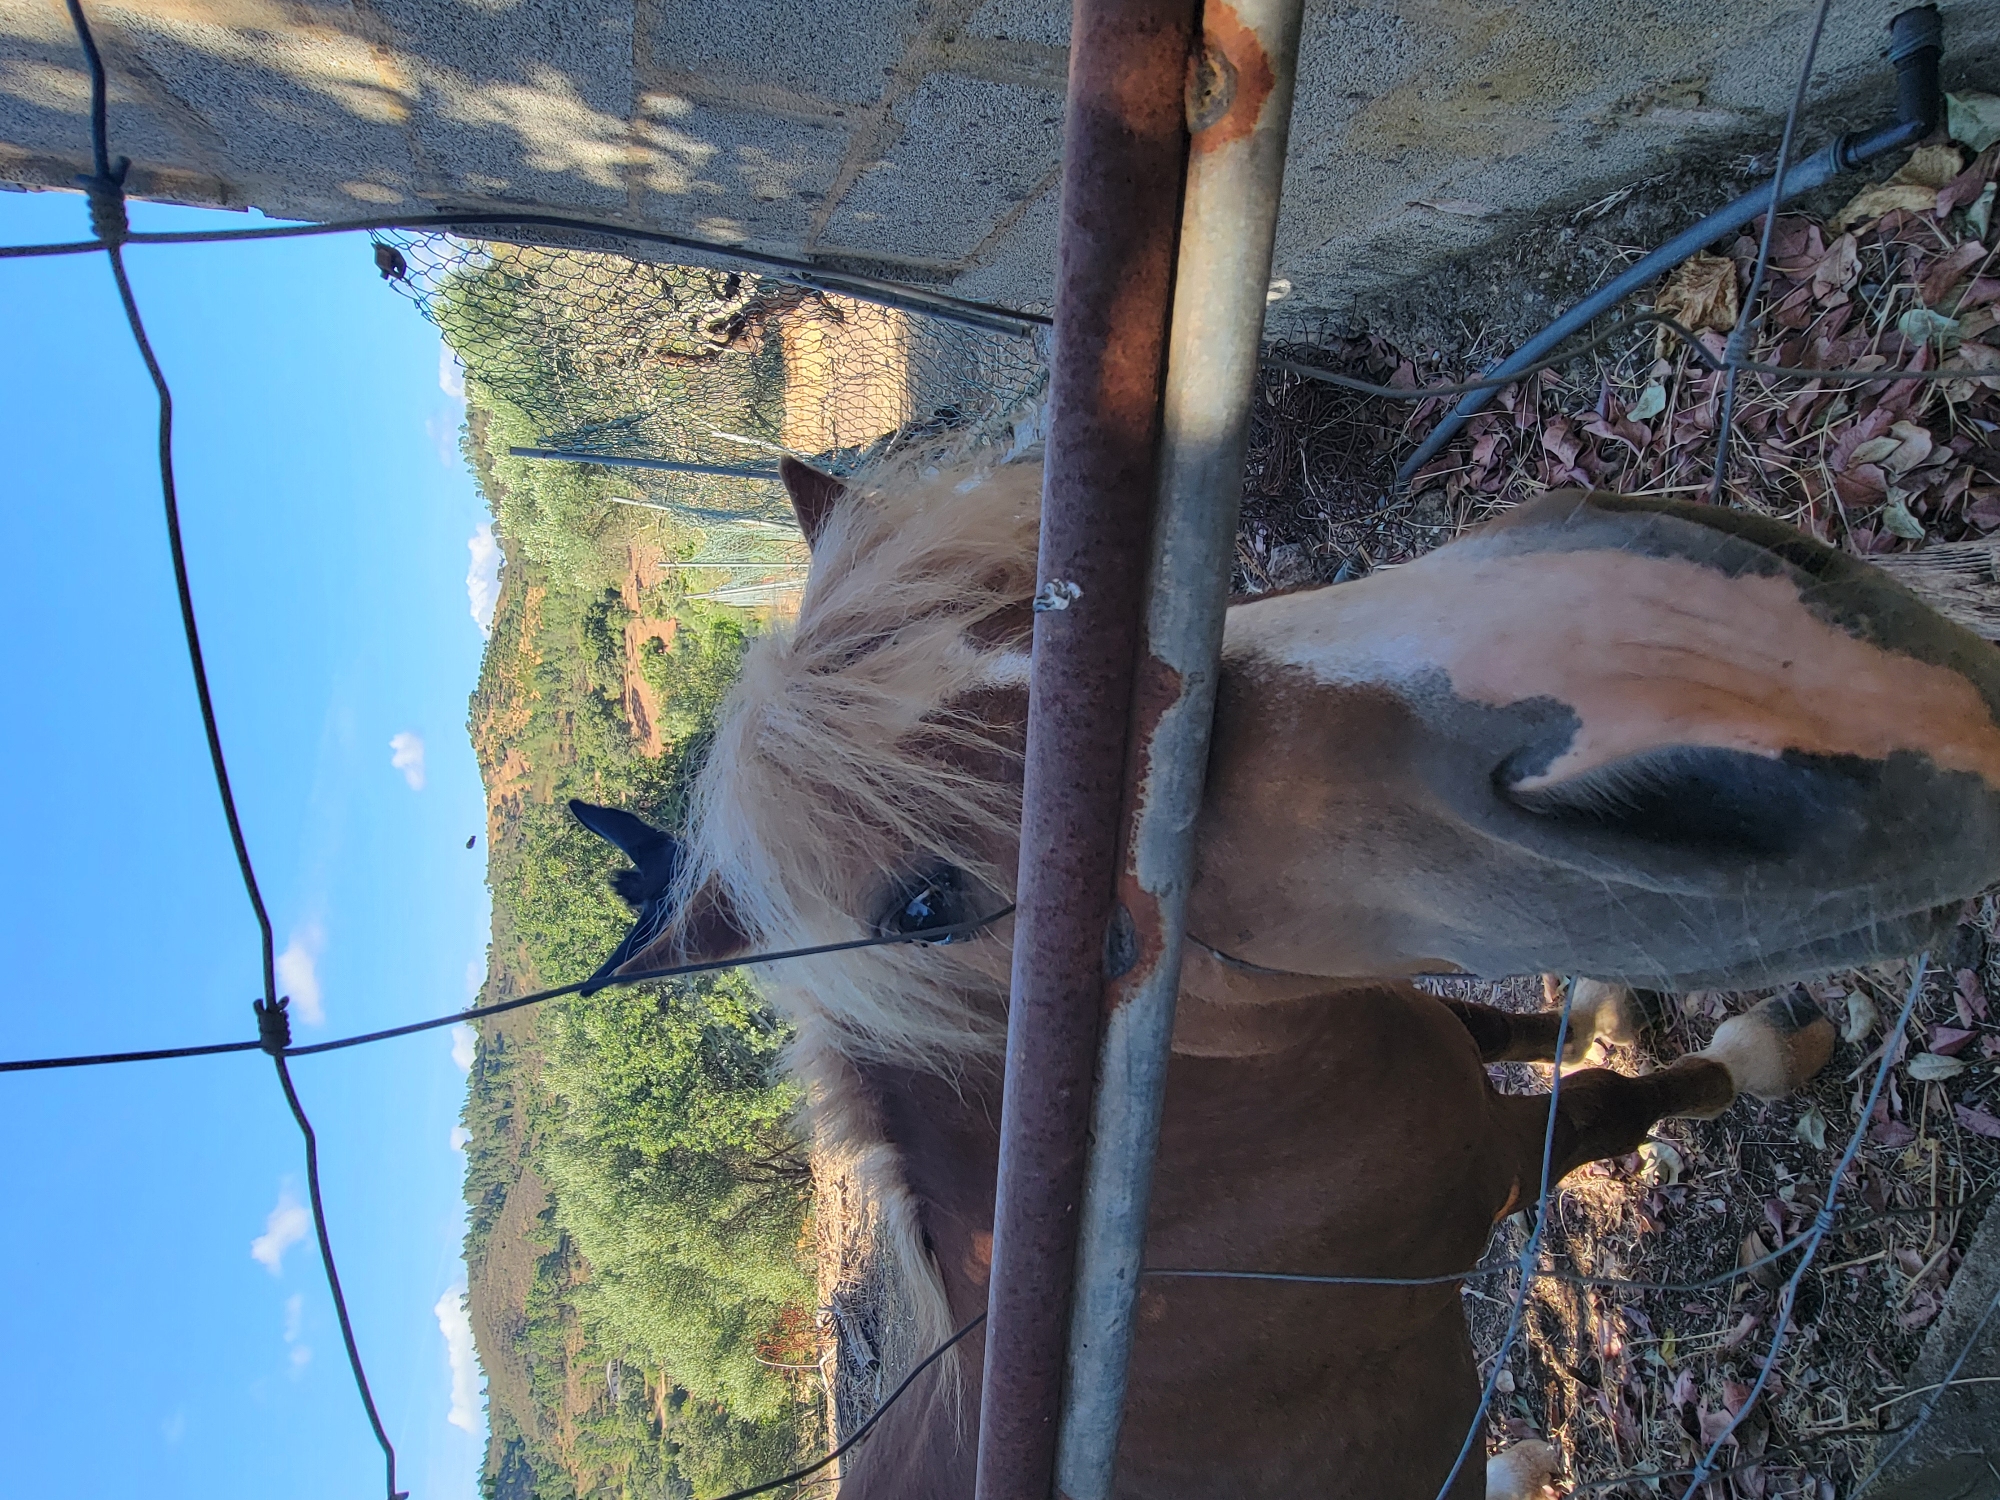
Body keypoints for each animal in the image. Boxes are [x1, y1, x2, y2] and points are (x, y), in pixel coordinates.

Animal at [570, 450, 2000, 1498]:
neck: (1196, 1207)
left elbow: (1500, 1024)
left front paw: (1596, 1005)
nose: (1724, 669)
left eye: (1049, 570)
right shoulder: (1491, 1170)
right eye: (923, 906)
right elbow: (1620, 1105)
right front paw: (1764, 1052)